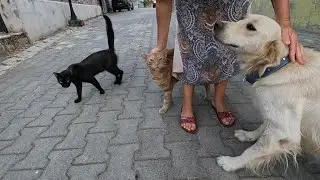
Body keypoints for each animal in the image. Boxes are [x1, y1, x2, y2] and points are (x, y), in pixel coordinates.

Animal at [214, 13, 320, 172]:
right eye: (243, 18)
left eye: (251, 27)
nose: (216, 24)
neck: (278, 67)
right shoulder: (273, 115)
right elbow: (263, 127)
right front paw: (248, 135)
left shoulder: (283, 130)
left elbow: (254, 149)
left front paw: (232, 162)